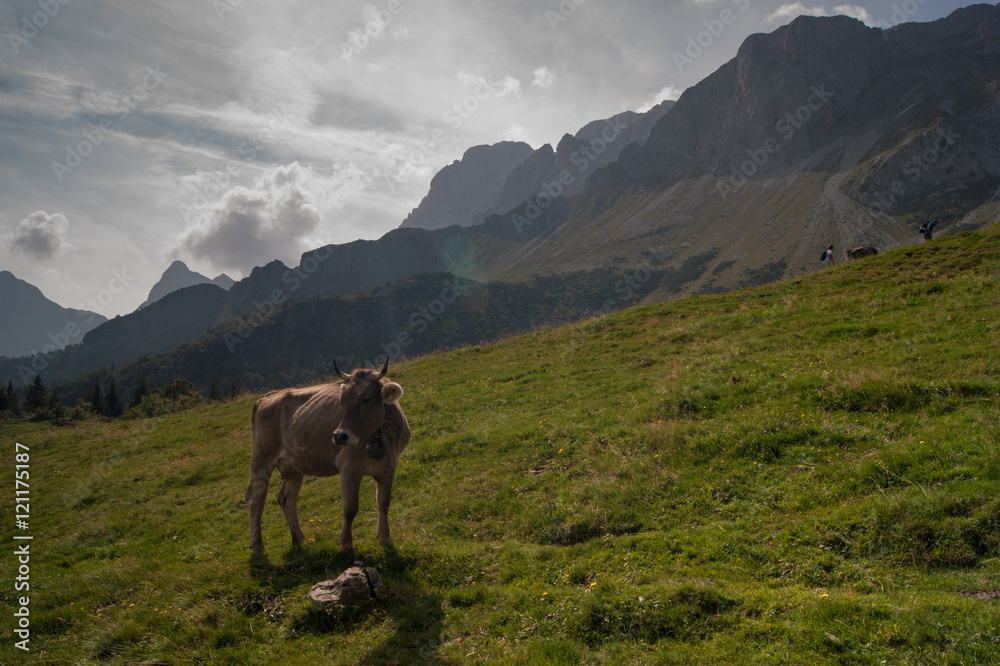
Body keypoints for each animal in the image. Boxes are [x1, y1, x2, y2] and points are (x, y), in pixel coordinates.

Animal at [245, 357, 410, 554]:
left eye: (366, 400)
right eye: (342, 402)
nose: (339, 436)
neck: (379, 436)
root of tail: (269, 396)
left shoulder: (390, 465)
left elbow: (384, 503)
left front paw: (386, 539)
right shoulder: (348, 466)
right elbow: (350, 508)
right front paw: (346, 545)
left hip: (293, 467)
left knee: (286, 499)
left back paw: (299, 539)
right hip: (261, 460)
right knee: (255, 500)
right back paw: (258, 546)